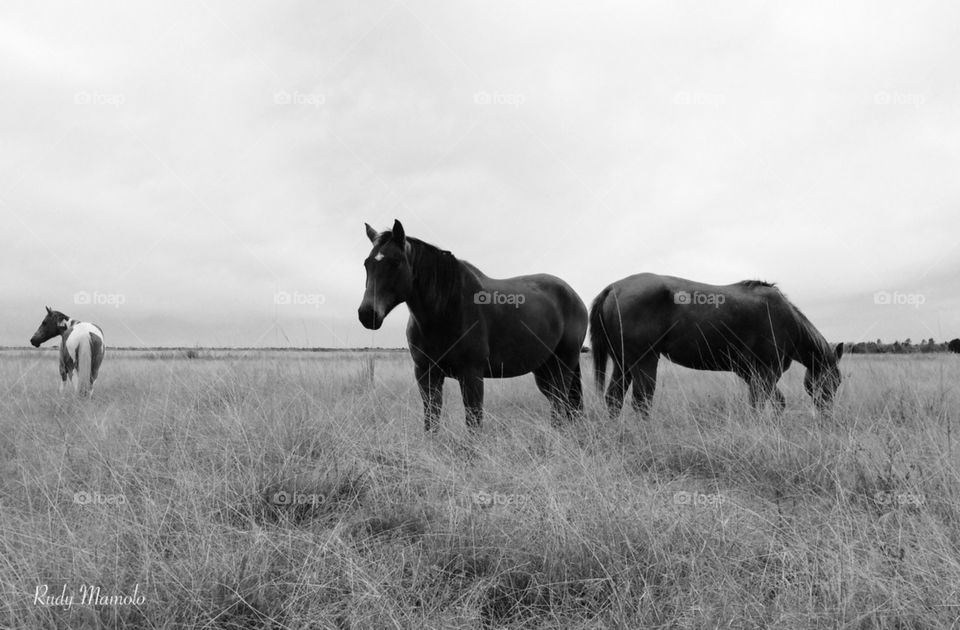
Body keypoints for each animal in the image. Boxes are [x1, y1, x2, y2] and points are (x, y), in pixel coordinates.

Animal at [358, 220, 588, 431]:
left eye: (395, 262)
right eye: (367, 264)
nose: (367, 314)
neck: (445, 310)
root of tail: (573, 295)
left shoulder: (471, 375)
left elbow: (473, 424)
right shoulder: (426, 374)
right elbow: (431, 421)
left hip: (563, 365)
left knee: (560, 403)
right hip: (543, 369)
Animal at [589, 274, 843, 417]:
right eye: (835, 382)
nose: (827, 416)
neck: (787, 320)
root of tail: (613, 288)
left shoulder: (752, 374)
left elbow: (776, 403)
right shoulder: (767, 373)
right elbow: (759, 406)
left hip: (623, 363)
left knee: (614, 399)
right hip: (644, 361)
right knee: (641, 402)